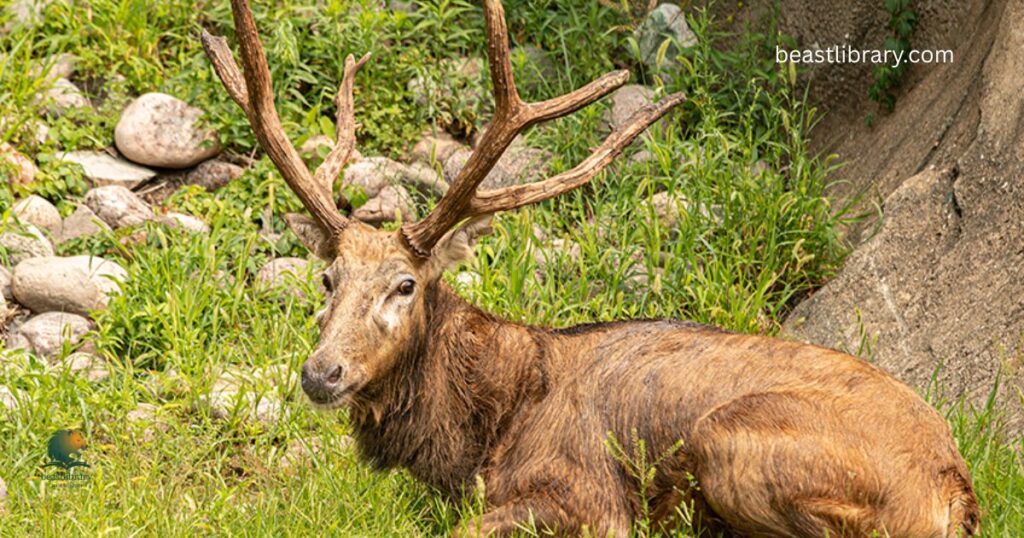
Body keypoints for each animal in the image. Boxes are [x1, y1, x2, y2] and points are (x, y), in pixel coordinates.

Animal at [201, 1, 980, 536]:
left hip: (730, 439)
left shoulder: (587, 498)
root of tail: (954, 489)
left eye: (405, 284)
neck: (479, 435)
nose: (320, 373)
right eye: (327, 279)